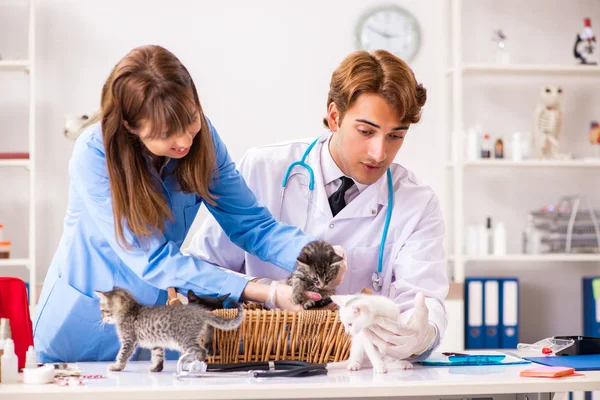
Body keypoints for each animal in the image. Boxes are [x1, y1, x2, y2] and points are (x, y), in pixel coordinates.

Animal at [97, 288, 243, 372]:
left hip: (184, 339)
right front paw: (156, 368)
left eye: (103, 311)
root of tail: (200, 311)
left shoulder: (128, 340)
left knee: (200, 352)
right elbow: (157, 355)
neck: (129, 310)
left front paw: (116, 366)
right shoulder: (156, 342)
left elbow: (122, 354)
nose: (102, 318)